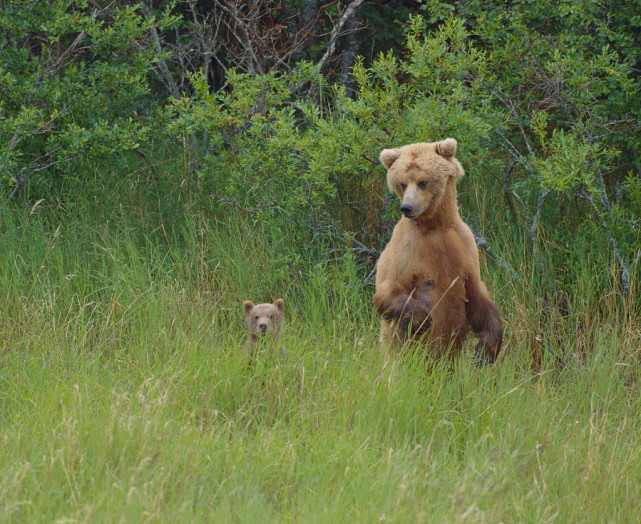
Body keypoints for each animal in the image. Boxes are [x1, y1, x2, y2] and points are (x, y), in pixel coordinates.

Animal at [372, 137, 502, 362]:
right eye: (402, 183)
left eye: (422, 182)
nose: (407, 207)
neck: (434, 226)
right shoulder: (405, 247)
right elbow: (387, 290)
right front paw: (421, 318)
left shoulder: (463, 243)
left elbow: (477, 292)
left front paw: (487, 348)